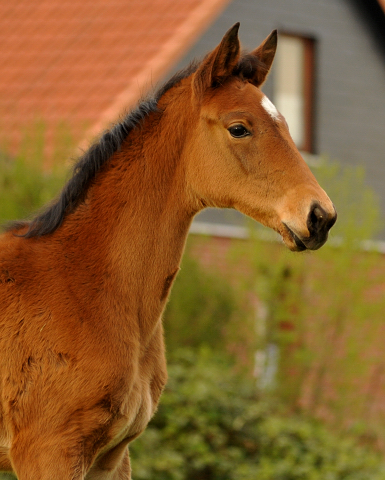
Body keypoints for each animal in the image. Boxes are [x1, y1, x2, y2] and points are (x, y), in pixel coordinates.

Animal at [0, 24, 336, 478]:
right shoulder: (48, 451)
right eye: (239, 128)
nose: (320, 216)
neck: (83, 286)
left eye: (285, 123)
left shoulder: (112, 457)